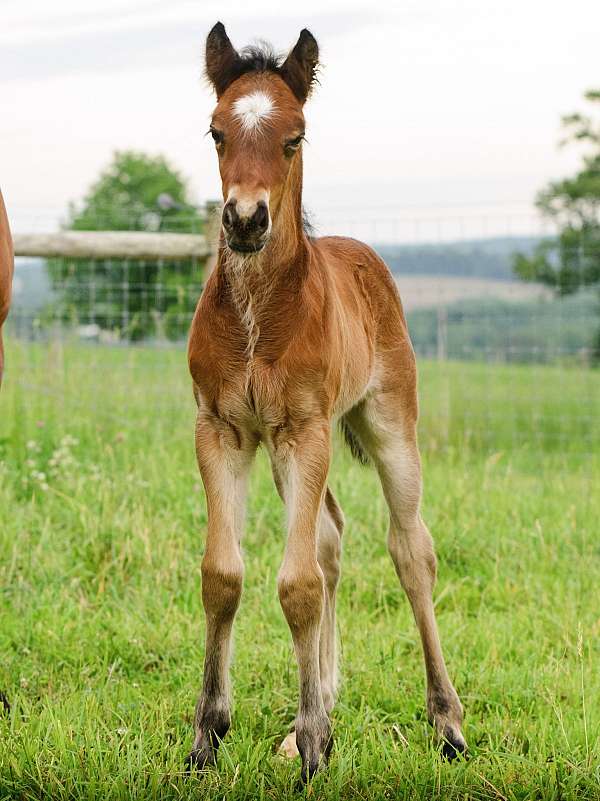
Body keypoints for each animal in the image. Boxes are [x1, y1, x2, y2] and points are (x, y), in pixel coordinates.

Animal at [187, 23, 466, 782]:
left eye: (295, 137)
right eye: (216, 131)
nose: (245, 219)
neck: (258, 314)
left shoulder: (306, 429)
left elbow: (298, 584)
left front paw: (315, 745)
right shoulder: (221, 431)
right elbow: (225, 574)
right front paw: (208, 736)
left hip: (388, 422)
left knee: (411, 550)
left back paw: (448, 722)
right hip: (290, 452)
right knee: (332, 537)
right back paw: (315, 711)